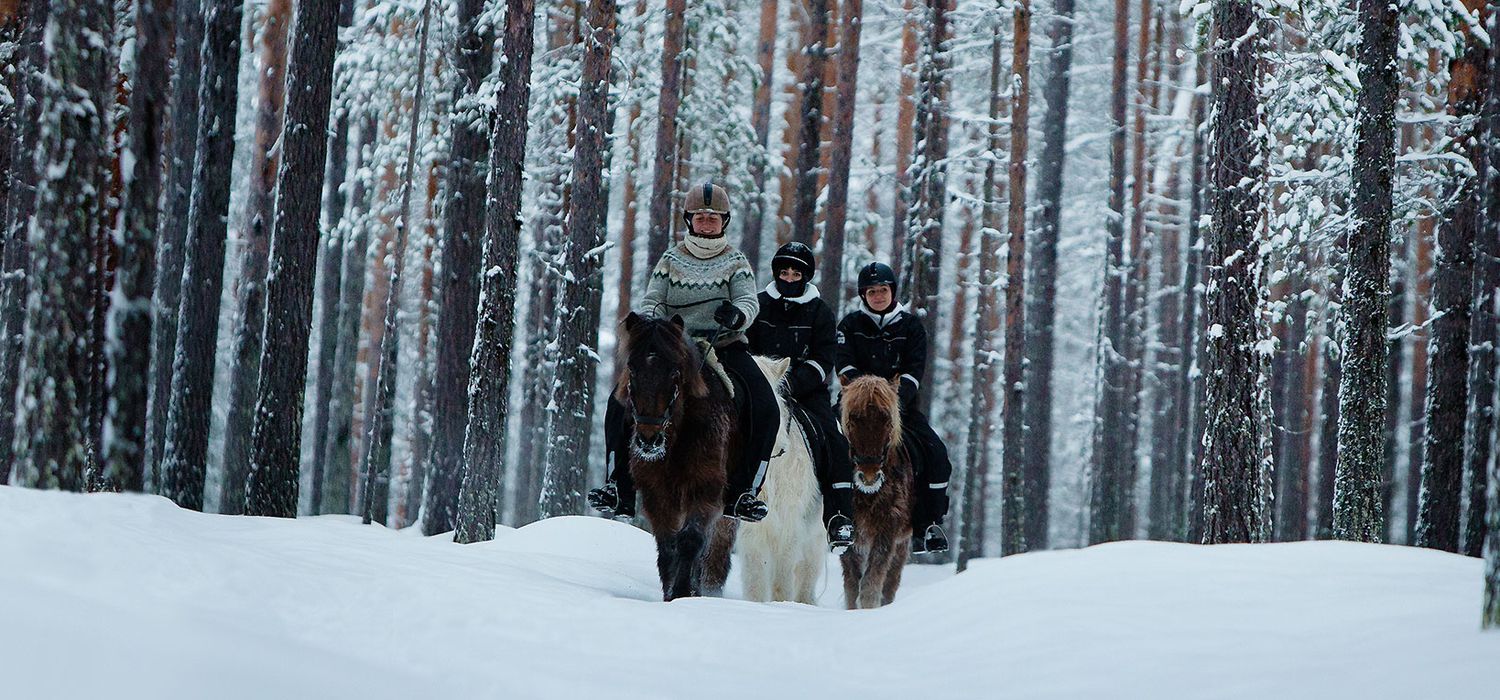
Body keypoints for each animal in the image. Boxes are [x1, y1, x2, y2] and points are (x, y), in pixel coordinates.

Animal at [618, 313, 741, 602]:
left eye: (675, 372)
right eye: (632, 368)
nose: (648, 440)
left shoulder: (706, 486)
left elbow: (690, 540)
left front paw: (683, 593)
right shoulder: (655, 491)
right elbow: (668, 545)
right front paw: (670, 593)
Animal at [834, 374, 912, 611]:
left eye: (887, 419)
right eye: (852, 418)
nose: (869, 476)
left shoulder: (887, 530)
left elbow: (872, 581)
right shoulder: (850, 534)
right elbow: (852, 584)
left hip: (902, 543)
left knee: (891, 582)